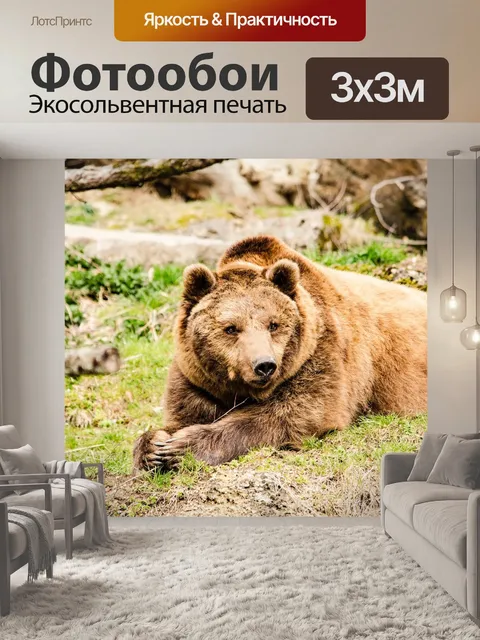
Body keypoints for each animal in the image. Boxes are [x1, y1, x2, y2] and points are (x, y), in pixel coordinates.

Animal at [133, 235, 427, 471]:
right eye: (231, 328)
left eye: (273, 324)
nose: (264, 365)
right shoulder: (196, 378)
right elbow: (182, 413)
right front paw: (155, 446)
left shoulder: (319, 356)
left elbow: (293, 414)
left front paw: (181, 447)